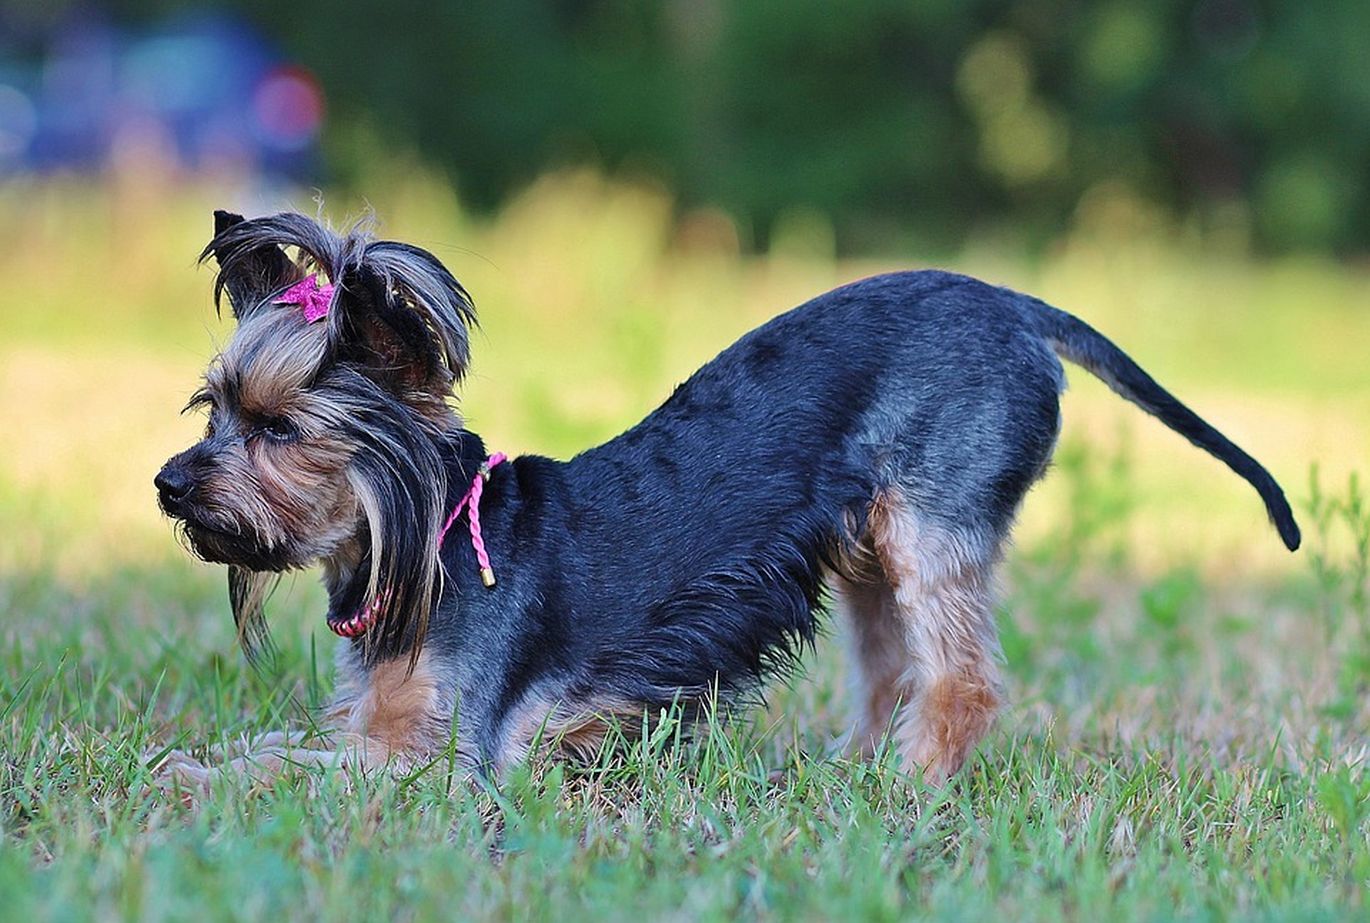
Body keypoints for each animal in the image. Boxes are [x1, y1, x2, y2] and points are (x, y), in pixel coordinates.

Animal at [155, 210, 1298, 783]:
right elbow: (278, 745)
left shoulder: (446, 754)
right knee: (891, 672)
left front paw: (193, 781)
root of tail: (1016, 304)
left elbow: (305, 768)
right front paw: (198, 763)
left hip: (933, 522)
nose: (167, 482)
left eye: (278, 429)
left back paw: (906, 790)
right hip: (867, 541)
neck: (423, 537)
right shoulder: (384, 717)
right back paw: (850, 775)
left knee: (960, 682)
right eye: (212, 410)